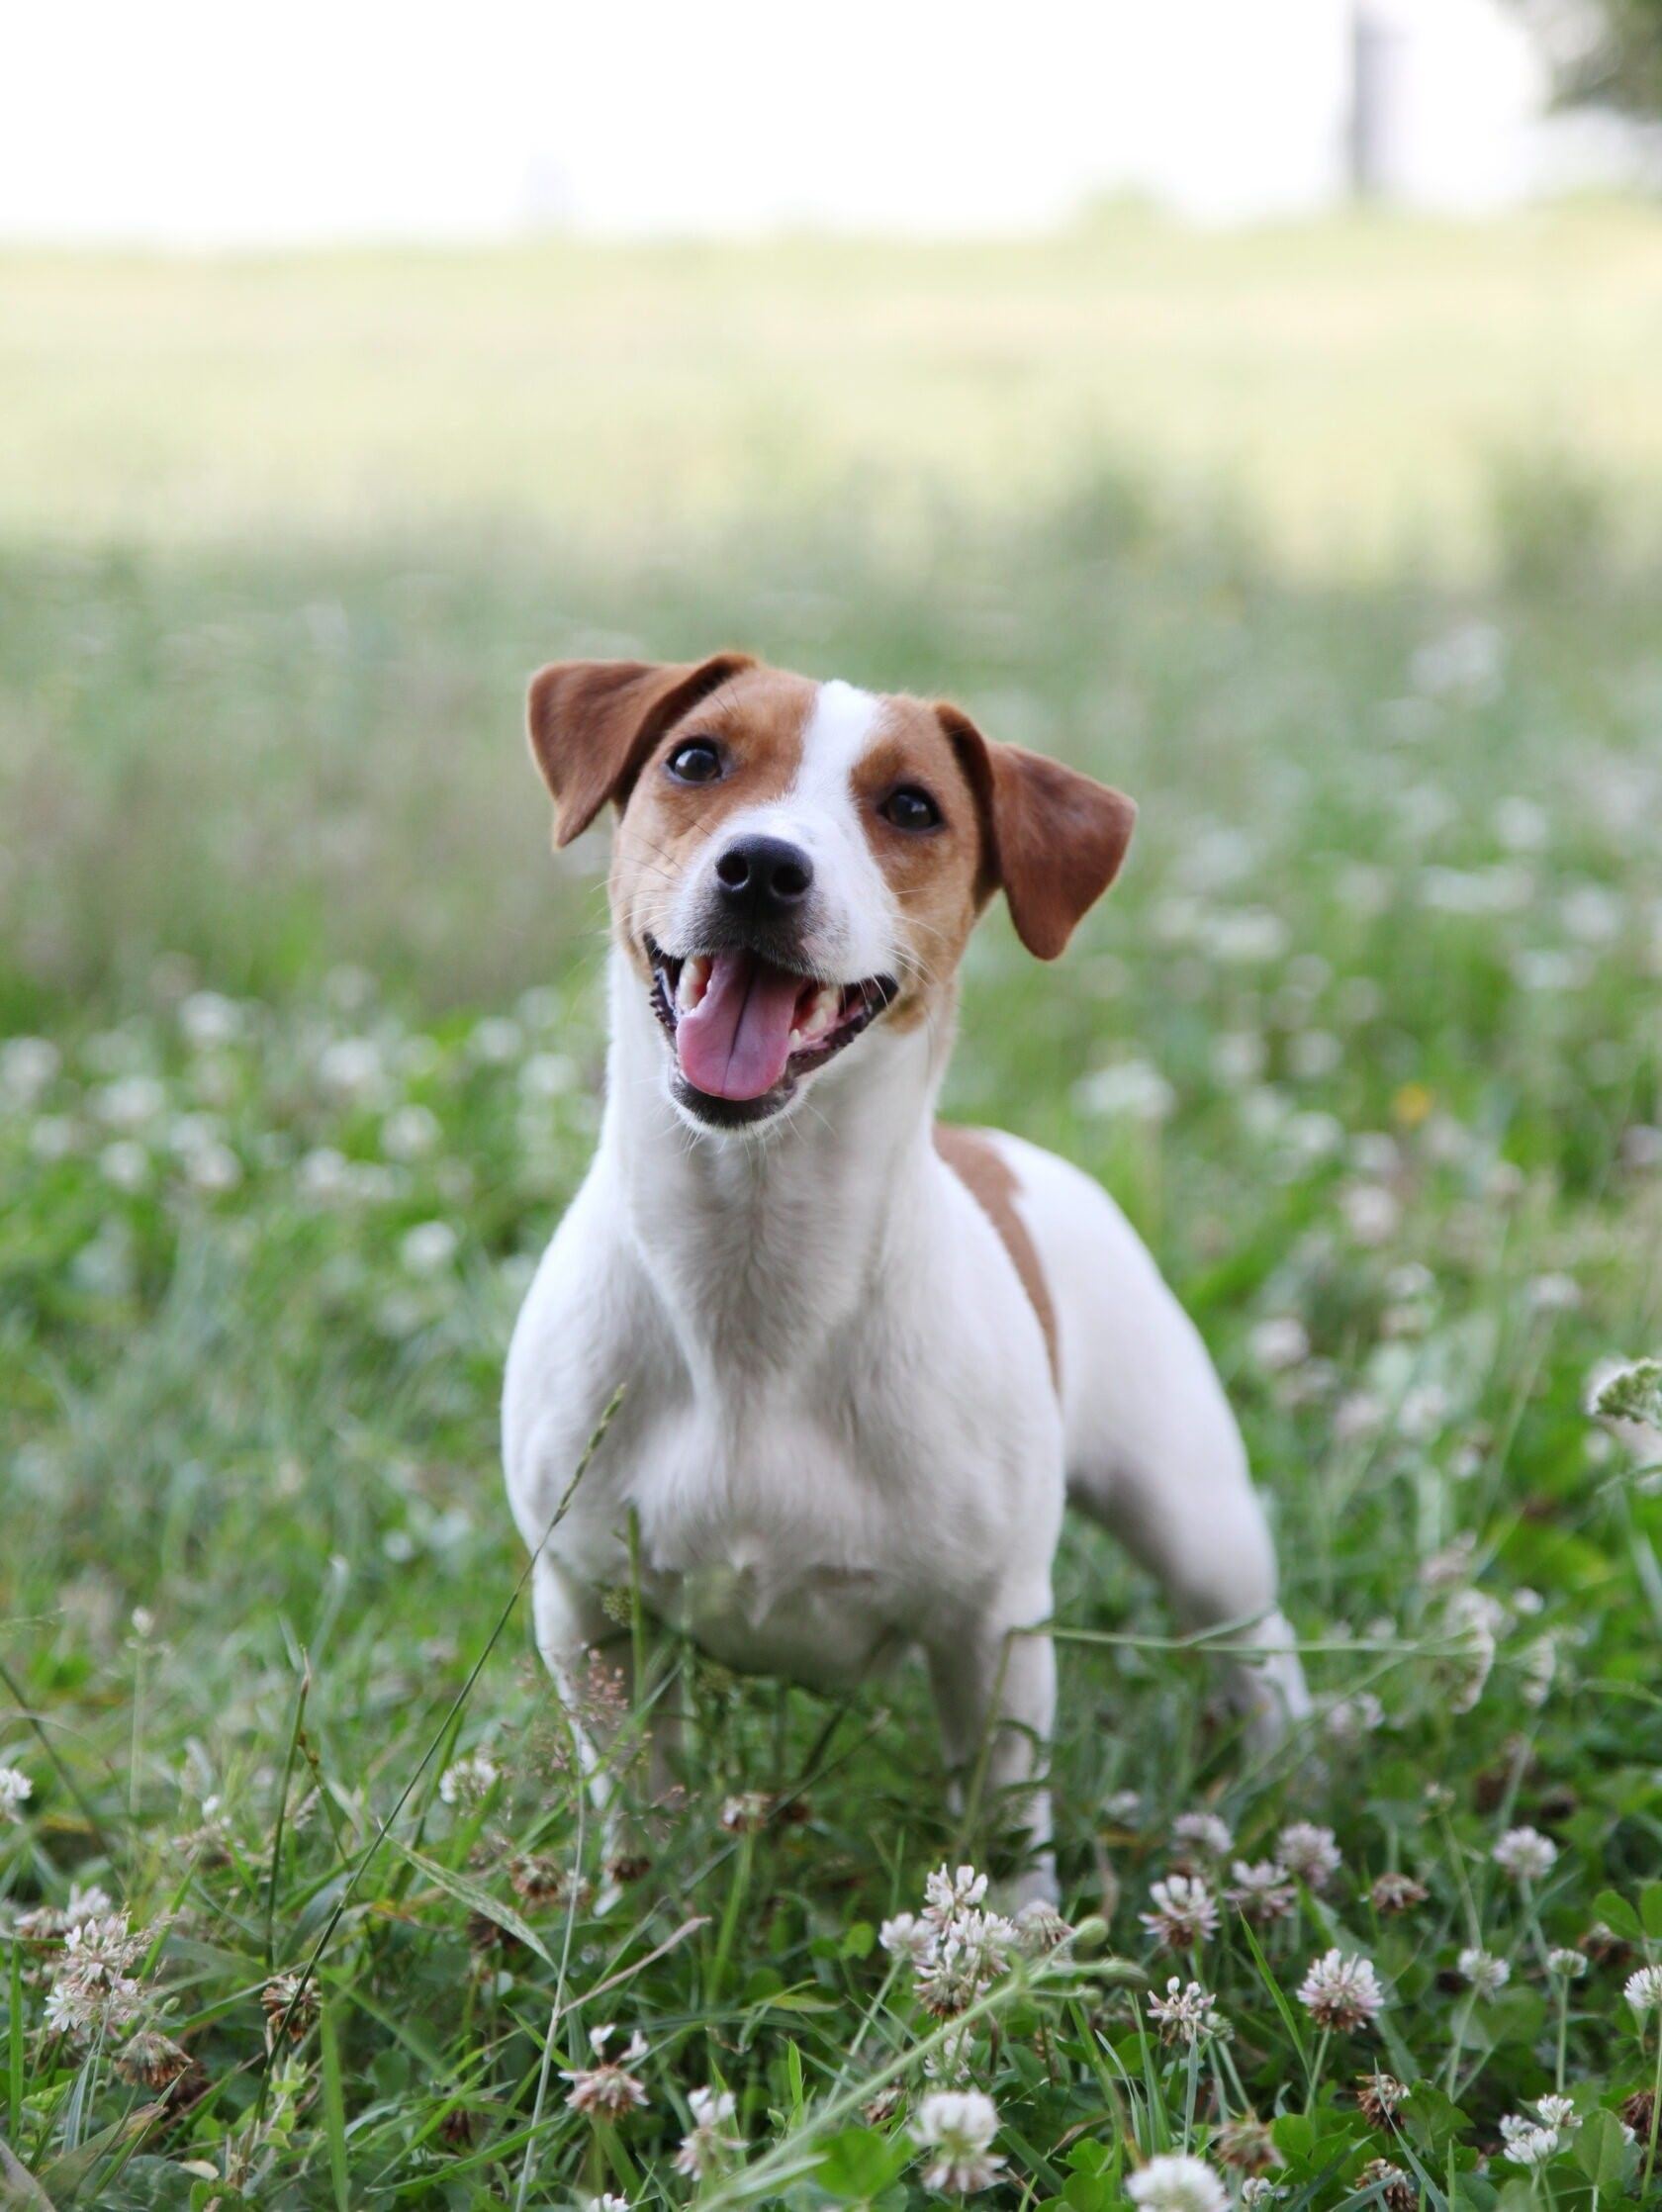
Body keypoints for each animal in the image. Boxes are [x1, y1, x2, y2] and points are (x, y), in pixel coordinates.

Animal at [500, 654, 1310, 1901]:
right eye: (696, 758)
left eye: (914, 807)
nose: (763, 867)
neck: (756, 1264)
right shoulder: (591, 1613)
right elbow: (638, 1803)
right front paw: (648, 1914)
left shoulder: (991, 1633)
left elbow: (1004, 1826)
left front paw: (1015, 1937)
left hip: (1194, 1515)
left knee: (1255, 1645)